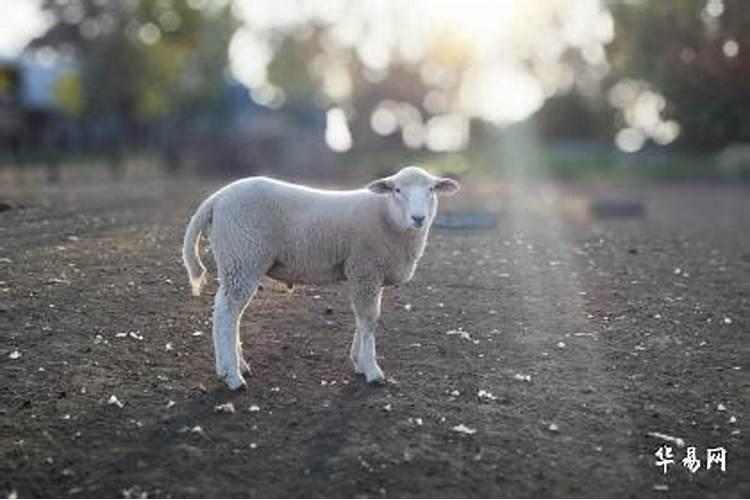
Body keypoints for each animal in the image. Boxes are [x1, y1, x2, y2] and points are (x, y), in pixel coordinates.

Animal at [185, 166, 462, 388]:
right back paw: (232, 376)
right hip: (242, 256)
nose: (418, 218)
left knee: (231, 313)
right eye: (396, 190)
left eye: (431, 189)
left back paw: (237, 366)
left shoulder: (369, 274)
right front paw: (372, 370)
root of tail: (217, 198)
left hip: (238, 260)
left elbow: (363, 319)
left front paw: (358, 361)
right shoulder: (365, 268)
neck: (389, 218)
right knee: (226, 312)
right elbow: (369, 320)